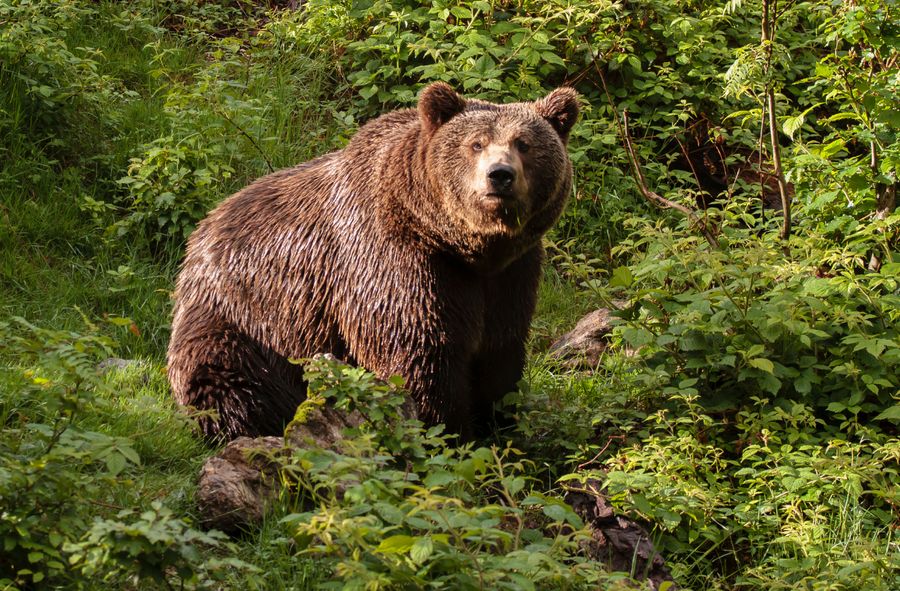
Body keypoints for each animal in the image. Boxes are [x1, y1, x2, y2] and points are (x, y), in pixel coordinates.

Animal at [167, 84, 576, 444]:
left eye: (524, 144)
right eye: (476, 144)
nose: (500, 175)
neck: (464, 246)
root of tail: (203, 229)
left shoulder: (511, 274)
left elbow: (499, 355)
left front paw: (500, 428)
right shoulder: (397, 263)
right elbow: (419, 356)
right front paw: (449, 434)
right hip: (244, 319)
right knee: (226, 381)